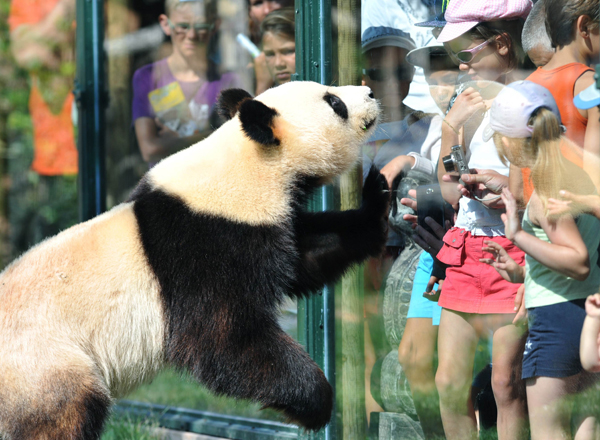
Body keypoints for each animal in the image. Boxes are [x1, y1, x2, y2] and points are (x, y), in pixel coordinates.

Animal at [0, 81, 390, 438]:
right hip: (44, 366)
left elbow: (307, 255)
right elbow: (221, 340)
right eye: (334, 102)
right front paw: (314, 403)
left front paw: (380, 195)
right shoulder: (205, 245)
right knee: (62, 415)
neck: (249, 164)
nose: (371, 91)